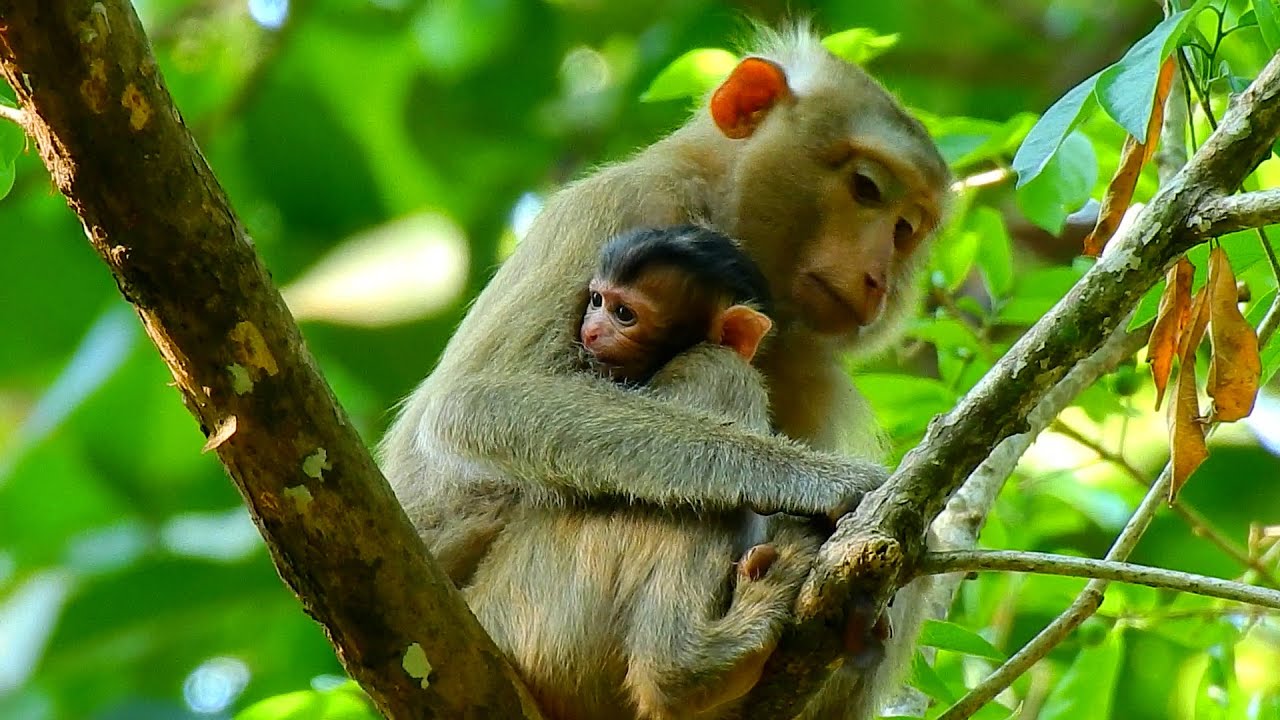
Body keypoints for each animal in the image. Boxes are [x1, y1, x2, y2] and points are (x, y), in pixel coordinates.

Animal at [379, 21, 950, 720]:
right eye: (866, 188)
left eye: (907, 230)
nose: (877, 279)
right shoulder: (619, 204)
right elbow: (477, 405)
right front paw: (827, 483)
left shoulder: (806, 361)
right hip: (533, 613)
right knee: (712, 387)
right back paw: (691, 664)